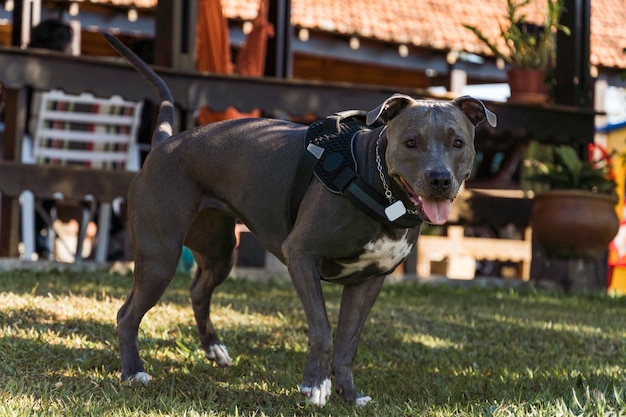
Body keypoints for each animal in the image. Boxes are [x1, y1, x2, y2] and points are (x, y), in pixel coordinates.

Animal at [103, 33, 492, 406]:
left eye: (457, 142)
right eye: (411, 142)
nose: (439, 179)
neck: (375, 181)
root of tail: (164, 143)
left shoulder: (368, 281)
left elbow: (348, 343)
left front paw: (349, 395)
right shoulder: (302, 255)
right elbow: (322, 328)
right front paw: (314, 386)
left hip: (219, 250)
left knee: (199, 289)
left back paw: (214, 349)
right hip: (160, 257)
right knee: (128, 314)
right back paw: (134, 371)